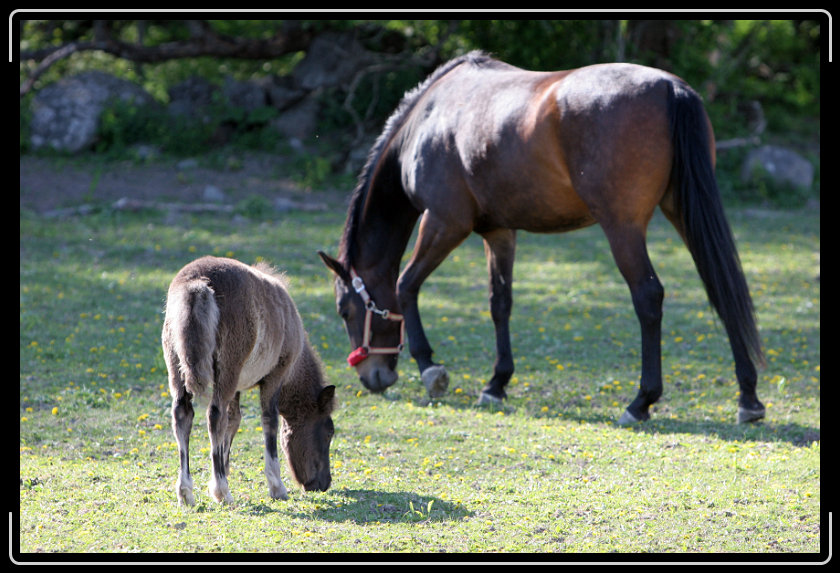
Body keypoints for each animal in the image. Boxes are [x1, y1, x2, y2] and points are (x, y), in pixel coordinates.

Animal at [161, 256, 334, 502]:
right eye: (329, 432)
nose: (324, 483)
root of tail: (196, 284)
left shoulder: (237, 388)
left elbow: (234, 421)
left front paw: (221, 471)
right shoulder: (275, 376)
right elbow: (269, 421)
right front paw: (276, 486)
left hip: (178, 367)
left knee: (182, 414)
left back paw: (186, 493)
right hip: (228, 368)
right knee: (215, 416)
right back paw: (223, 492)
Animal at [318, 50, 764, 424]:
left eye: (344, 310)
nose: (372, 377)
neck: (428, 119)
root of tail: (670, 88)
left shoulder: (445, 222)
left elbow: (405, 285)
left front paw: (430, 368)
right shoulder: (498, 231)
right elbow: (500, 303)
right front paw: (496, 384)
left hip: (622, 226)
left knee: (648, 297)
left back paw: (641, 402)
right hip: (682, 212)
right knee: (722, 288)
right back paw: (748, 399)